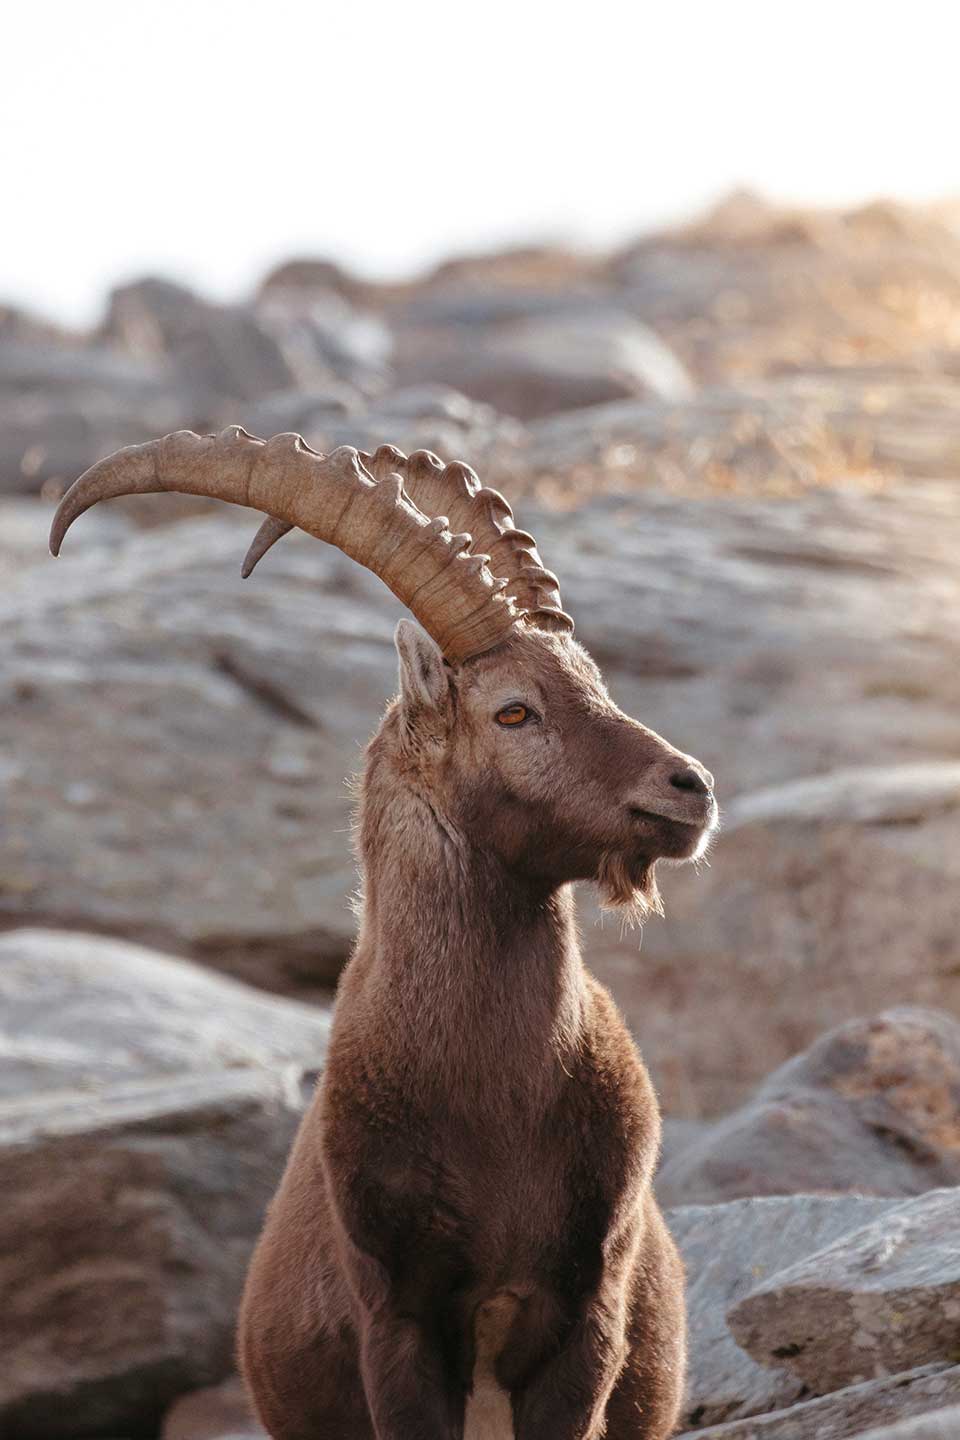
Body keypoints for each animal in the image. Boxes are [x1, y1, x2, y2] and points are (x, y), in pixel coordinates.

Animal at [51, 427, 718, 1440]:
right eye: (514, 709)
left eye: (593, 683)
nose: (691, 789)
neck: (496, 1099)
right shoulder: (397, 1319)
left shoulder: (587, 1316)